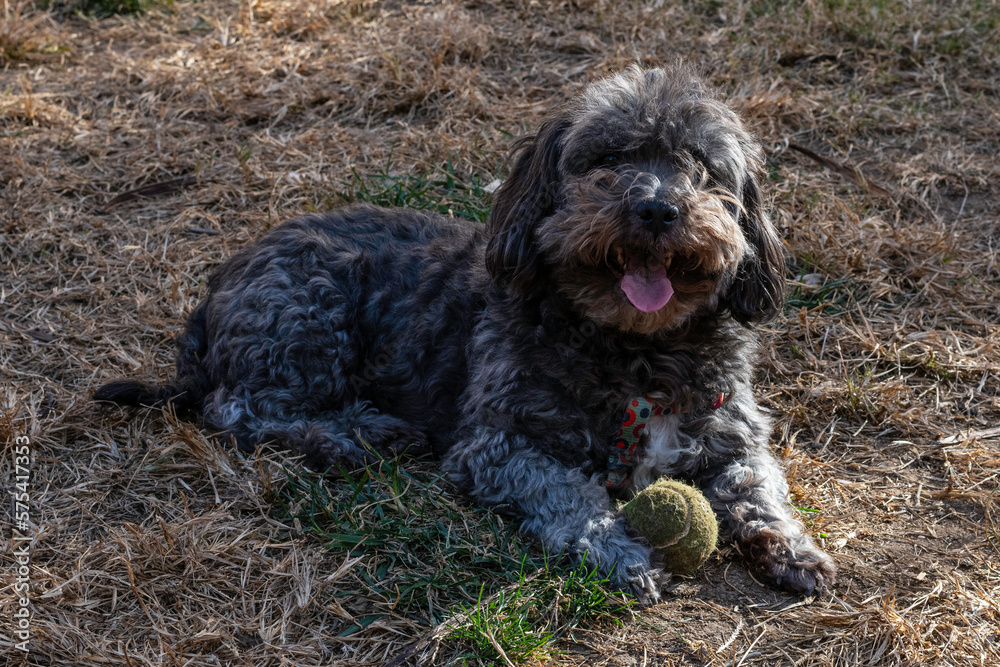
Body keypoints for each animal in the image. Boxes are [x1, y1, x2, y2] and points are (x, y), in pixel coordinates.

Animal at [97, 65, 836, 604]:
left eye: (700, 167)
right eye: (608, 158)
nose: (657, 208)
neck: (639, 348)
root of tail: (219, 284)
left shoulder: (734, 434)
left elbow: (757, 486)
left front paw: (791, 546)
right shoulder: (497, 446)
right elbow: (571, 495)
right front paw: (621, 551)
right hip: (309, 310)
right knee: (240, 408)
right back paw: (353, 435)